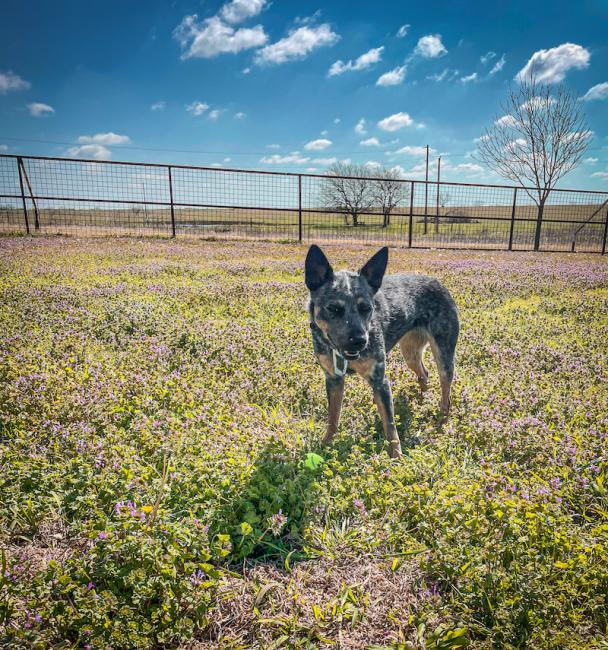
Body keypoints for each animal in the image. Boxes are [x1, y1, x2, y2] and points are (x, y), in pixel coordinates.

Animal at [306, 243, 458, 456]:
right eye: (333, 308)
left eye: (366, 308)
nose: (360, 341)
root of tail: (436, 281)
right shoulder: (334, 379)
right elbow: (333, 418)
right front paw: (326, 445)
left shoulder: (380, 380)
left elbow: (390, 424)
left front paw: (396, 456)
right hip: (410, 353)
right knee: (424, 373)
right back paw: (422, 399)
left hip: (444, 356)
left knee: (446, 394)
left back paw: (441, 422)